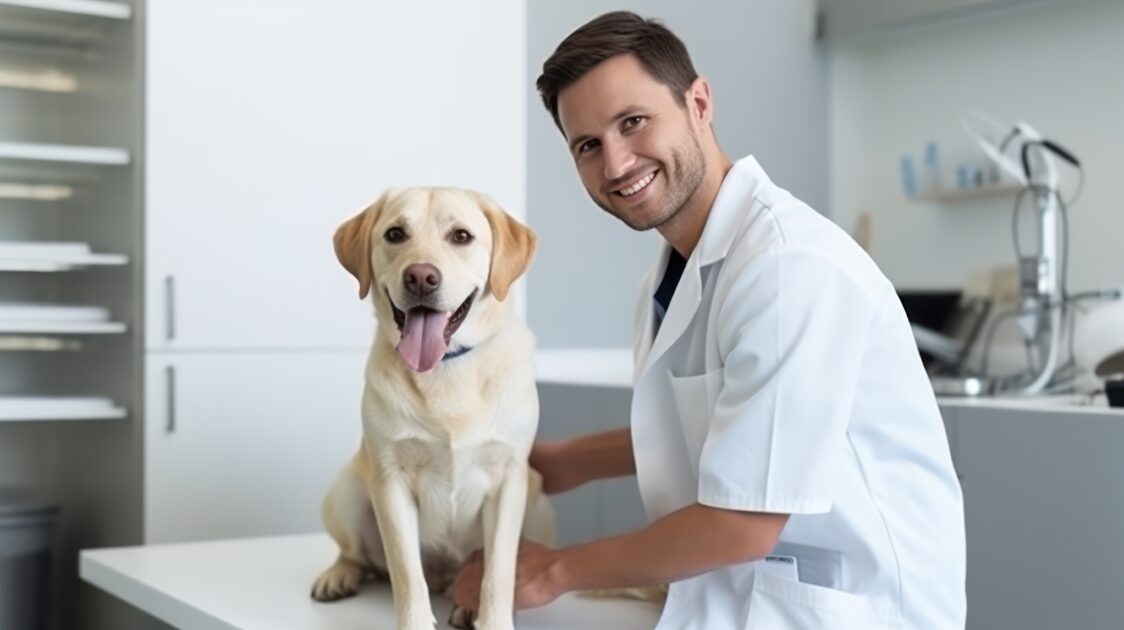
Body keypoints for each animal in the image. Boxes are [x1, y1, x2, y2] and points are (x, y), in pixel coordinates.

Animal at [310, 187, 555, 630]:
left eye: (461, 236)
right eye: (395, 233)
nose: (421, 277)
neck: (446, 370)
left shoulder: (508, 479)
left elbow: (498, 571)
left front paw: (492, 619)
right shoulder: (390, 480)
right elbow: (406, 573)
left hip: (541, 505)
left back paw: (466, 603)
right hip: (347, 489)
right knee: (359, 556)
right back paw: (339, 575)